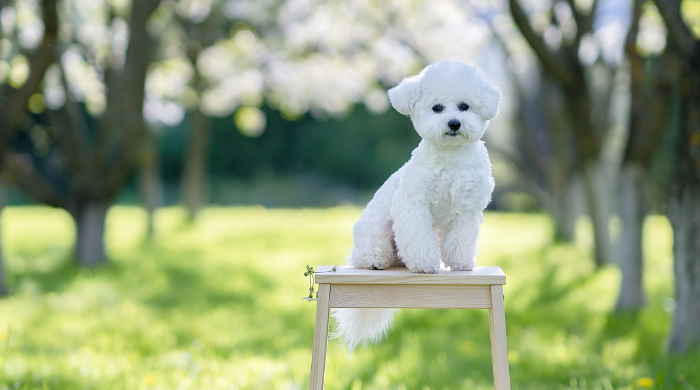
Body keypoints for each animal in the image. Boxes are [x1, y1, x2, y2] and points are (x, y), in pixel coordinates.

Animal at [332, 61, 498, 350]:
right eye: (437, 108)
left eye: (464, 106)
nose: (454, 123)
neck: (451, 158)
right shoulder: (413, 205)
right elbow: (419, 239)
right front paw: (424, 265)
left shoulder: (467, 210)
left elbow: (461, 240)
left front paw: (461, 263)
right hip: (375, 231)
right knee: (365, 256)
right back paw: (376, 262)